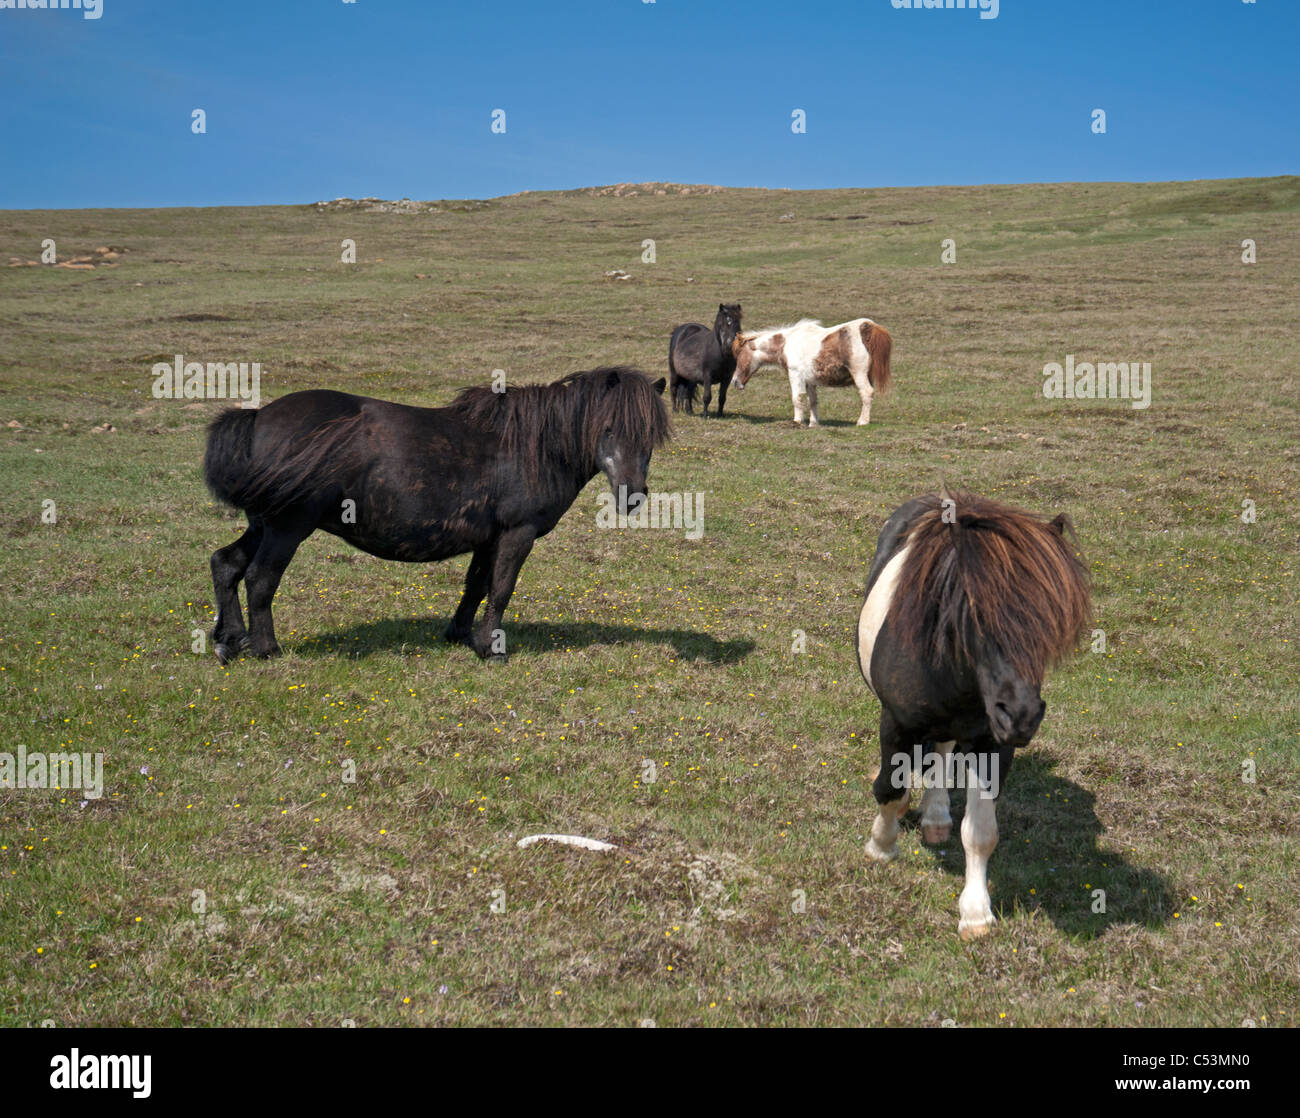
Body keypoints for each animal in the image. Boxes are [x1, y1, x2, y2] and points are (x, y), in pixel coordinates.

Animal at [205, 366, 670, 663]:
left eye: (650, 434)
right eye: (608, 428)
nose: (632, 495)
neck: (534, 446)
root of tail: (258, 417)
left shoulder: (489, 537)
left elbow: (476, 586)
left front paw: (462, 637)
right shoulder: (517, 533)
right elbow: (501, 589)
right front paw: (492, 650)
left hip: (262, 524)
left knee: (225, 564)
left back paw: (229, 640)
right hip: (287, 527)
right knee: (259, 578)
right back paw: (267, 649)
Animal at [733, 317, 894, 426]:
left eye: (739, 355)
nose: (735, 382)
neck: (786, 343)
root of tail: (868, 327)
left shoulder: (795, 376)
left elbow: (797, 399)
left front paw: (797, 421)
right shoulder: (810, 382)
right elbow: (813, 401)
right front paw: (813, 423)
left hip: (859, 374)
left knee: (867, 393)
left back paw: (862, 421)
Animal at [857, 493, 1092, 941]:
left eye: (1049, 619)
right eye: (976, 614)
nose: (1020, 716)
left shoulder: (992, 746)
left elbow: (981, 832)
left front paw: (976, 913)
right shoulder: (896, 724)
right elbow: (891, 791)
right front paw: (881, 847)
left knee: (942, 752)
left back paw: (935, 817)